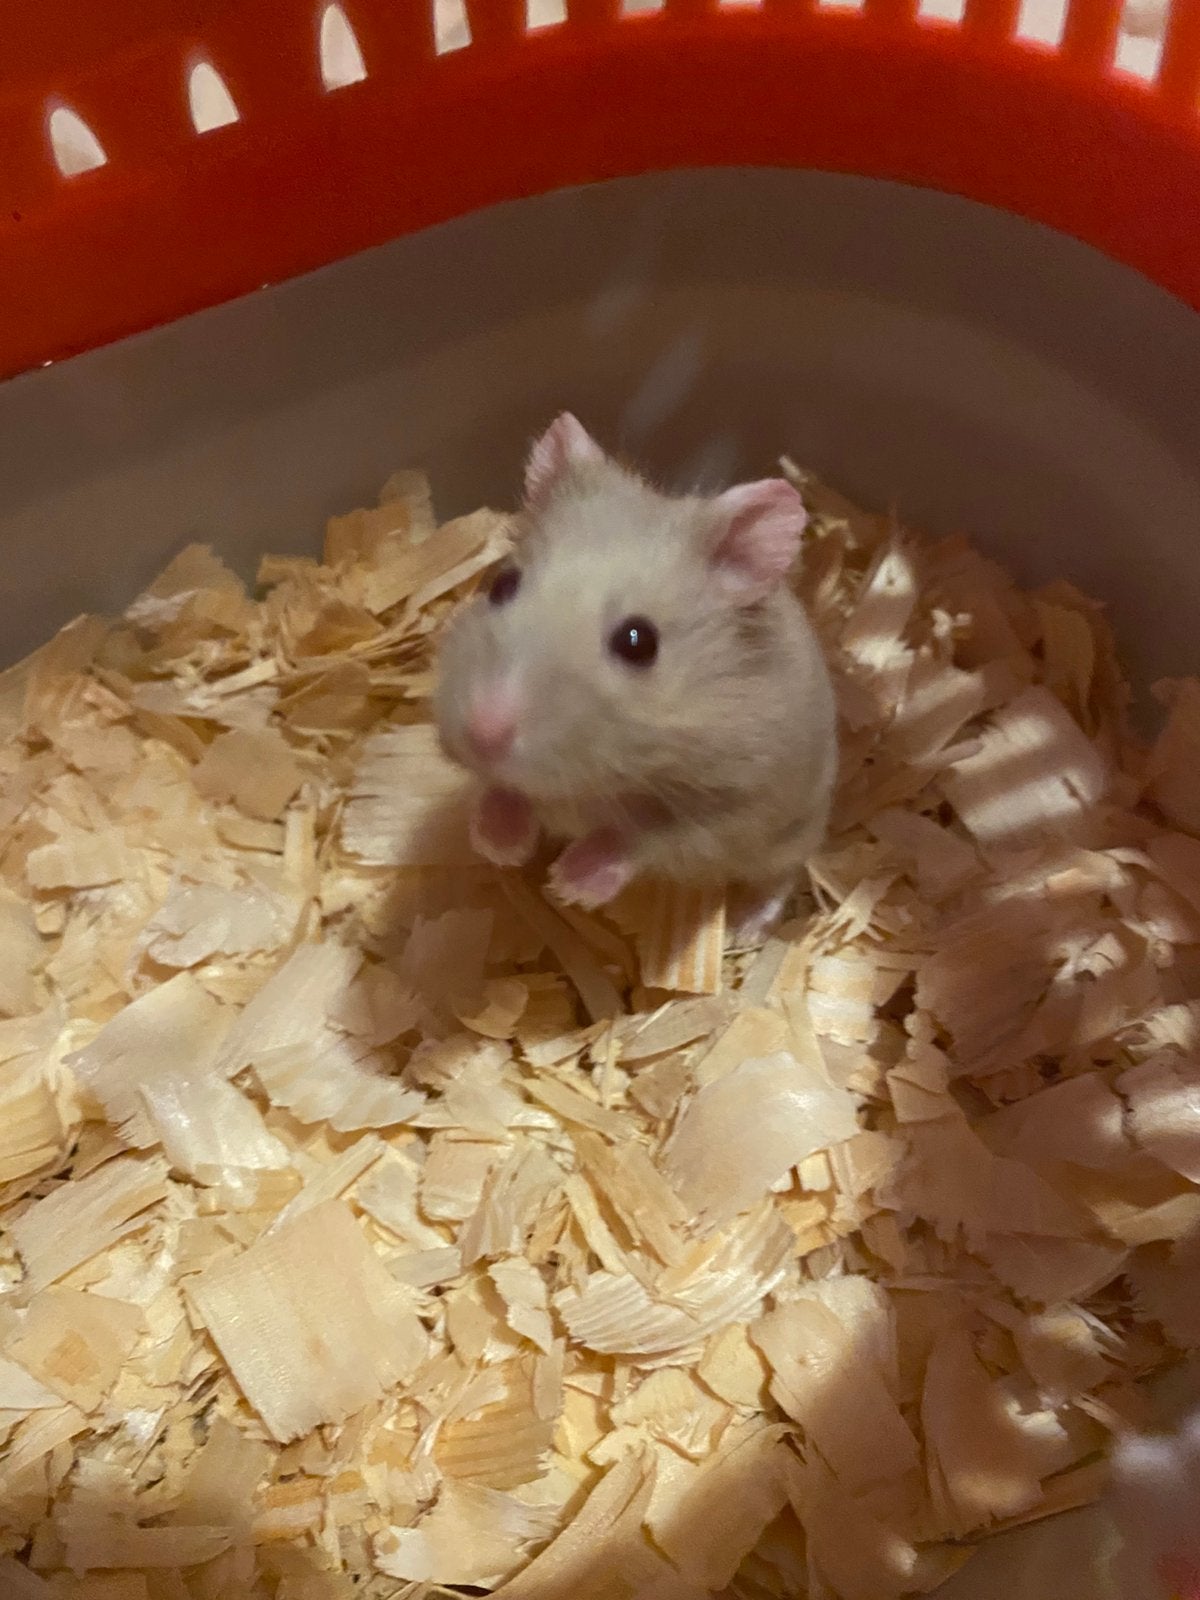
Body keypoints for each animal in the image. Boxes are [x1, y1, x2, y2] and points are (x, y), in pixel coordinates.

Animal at [434, 413, 837, 937]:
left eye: (638, 642)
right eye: (501, 584)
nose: (483, 733)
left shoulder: (728, 810)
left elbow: (639, 839)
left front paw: (569, 883)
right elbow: (502, 789)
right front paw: (500, 845)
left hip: (792, 833)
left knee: (779, 878)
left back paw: (743, 931)